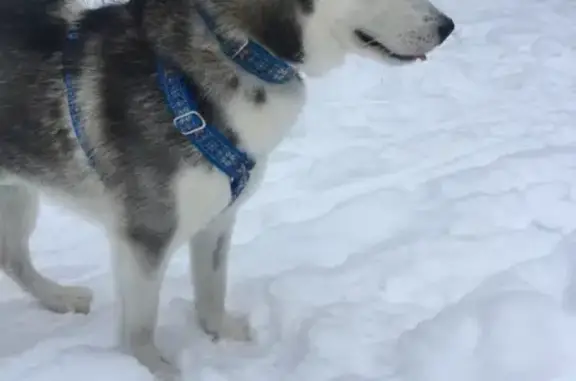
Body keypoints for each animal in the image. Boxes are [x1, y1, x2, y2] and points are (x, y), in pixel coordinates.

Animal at [0, 0, 454, 374]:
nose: (447, 26)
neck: (237, 50)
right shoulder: (146, 235)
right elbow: (140, 326)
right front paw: (155, 369)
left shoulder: (218, 216)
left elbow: (211, 289)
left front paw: (223, 336)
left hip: (17, 197)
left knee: (12, 257)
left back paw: (58, 298)